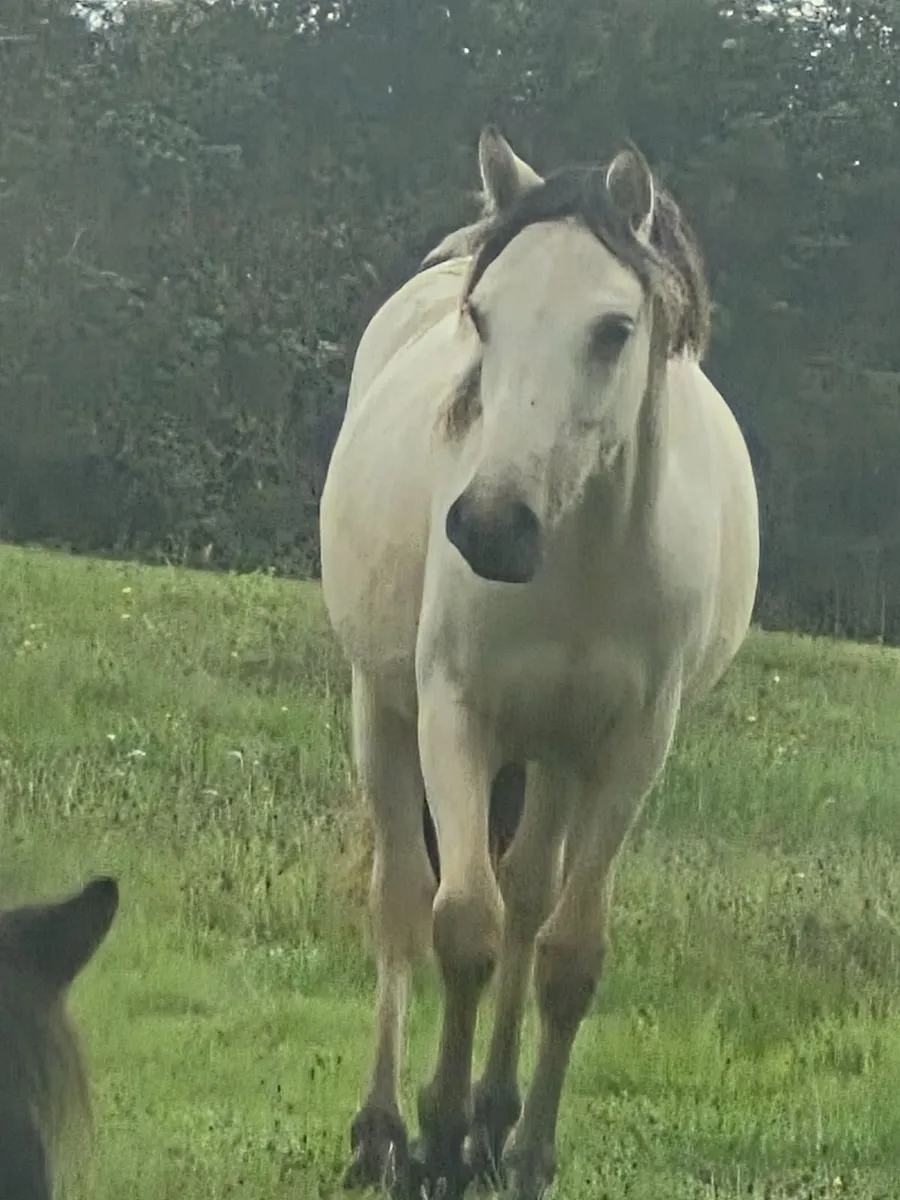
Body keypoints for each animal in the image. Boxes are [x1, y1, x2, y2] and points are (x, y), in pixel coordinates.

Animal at [319, 126, 759, 1199]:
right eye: (484, 317)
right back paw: (383, 1130)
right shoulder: (455, 718)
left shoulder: (629, 750)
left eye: (612, 329)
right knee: (402, 902)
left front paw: (521, 1152)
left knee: (528, 895)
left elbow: (564, 951)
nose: (489, 526)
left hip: (556, 754)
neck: (581, 555)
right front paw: (433, 1142)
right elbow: (461, 928)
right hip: (382, 712)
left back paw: (493, 1119)